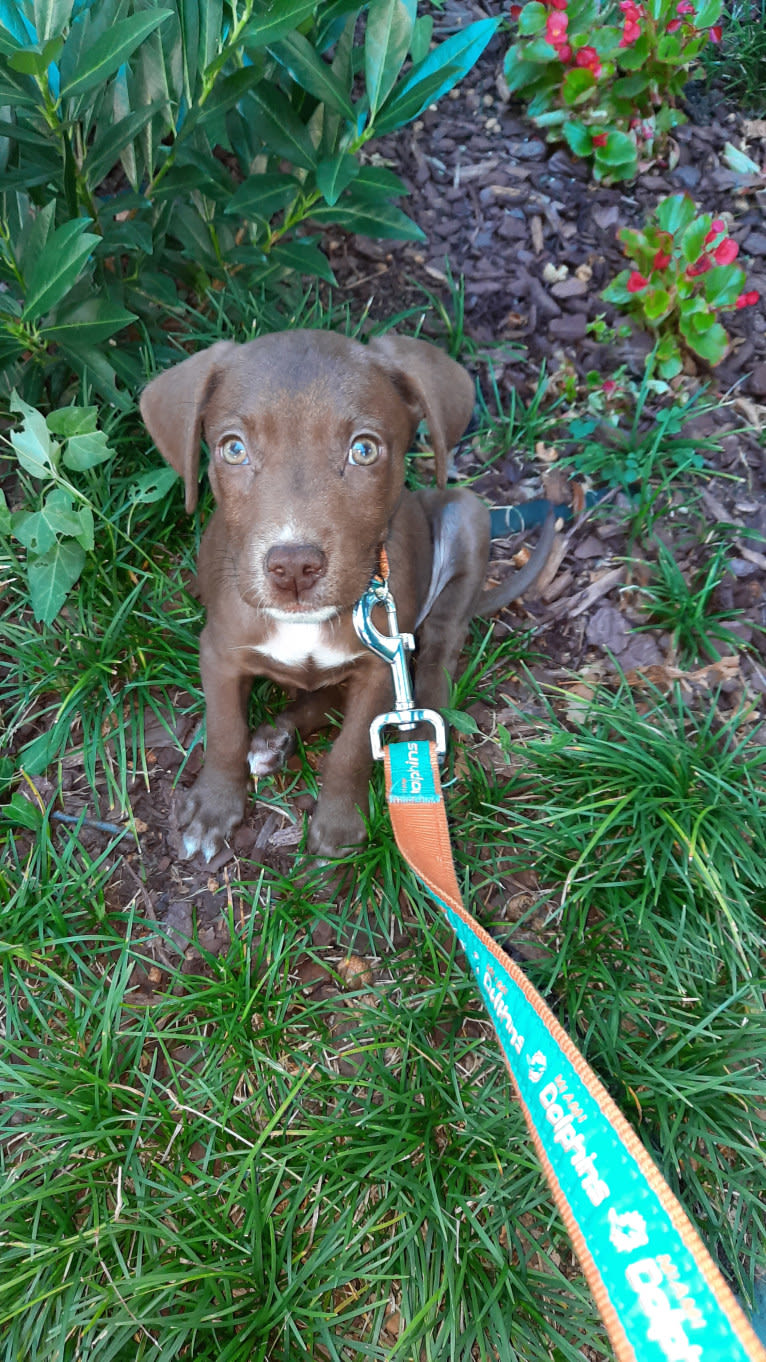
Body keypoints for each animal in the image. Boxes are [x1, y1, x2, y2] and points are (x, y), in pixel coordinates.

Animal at [141, 330, 547, 860]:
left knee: (441, 643)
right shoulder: (221, 652)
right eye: (233, 449)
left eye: (364, 451)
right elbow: (225, 730)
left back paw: (420, 723)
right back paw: (275, 738)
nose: (294, 567)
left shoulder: (379, 667)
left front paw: (339, 823)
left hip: (467, 512)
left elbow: (351, 748)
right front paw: (213, 808)